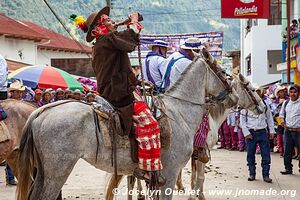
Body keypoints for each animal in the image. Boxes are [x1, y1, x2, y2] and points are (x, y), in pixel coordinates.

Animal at [17, 54, 241, 200]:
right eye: (223, 72)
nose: (235, 98)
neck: (180, 114)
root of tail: (42, 111)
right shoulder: (169, 175)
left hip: (43, 172)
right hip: (57, 171)